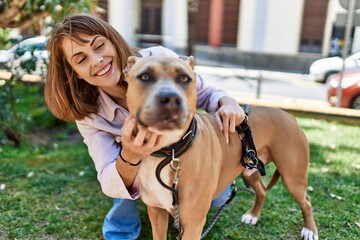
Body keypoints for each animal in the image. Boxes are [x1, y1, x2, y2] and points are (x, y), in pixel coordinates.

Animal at [123, 55, 318, 239]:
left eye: (184, 78)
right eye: (145, 76)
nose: (170, 97)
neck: (170, 151)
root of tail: (288, 115)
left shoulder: (193, 224)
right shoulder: (157, 212)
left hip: (292, 176)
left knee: (307, 201)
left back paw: (310, 230)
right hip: (250, 170)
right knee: (262, 190)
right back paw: (253, 216)